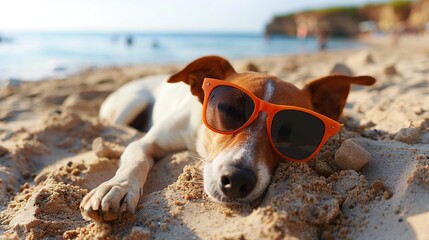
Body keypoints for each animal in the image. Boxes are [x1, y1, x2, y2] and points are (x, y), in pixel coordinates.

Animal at [80, 55, 374, 221]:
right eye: (228, 109)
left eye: (290, 132)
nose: (238, 179)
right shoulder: (147, 143)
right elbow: (136, 158)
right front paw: (116, 187)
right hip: (131, 102)